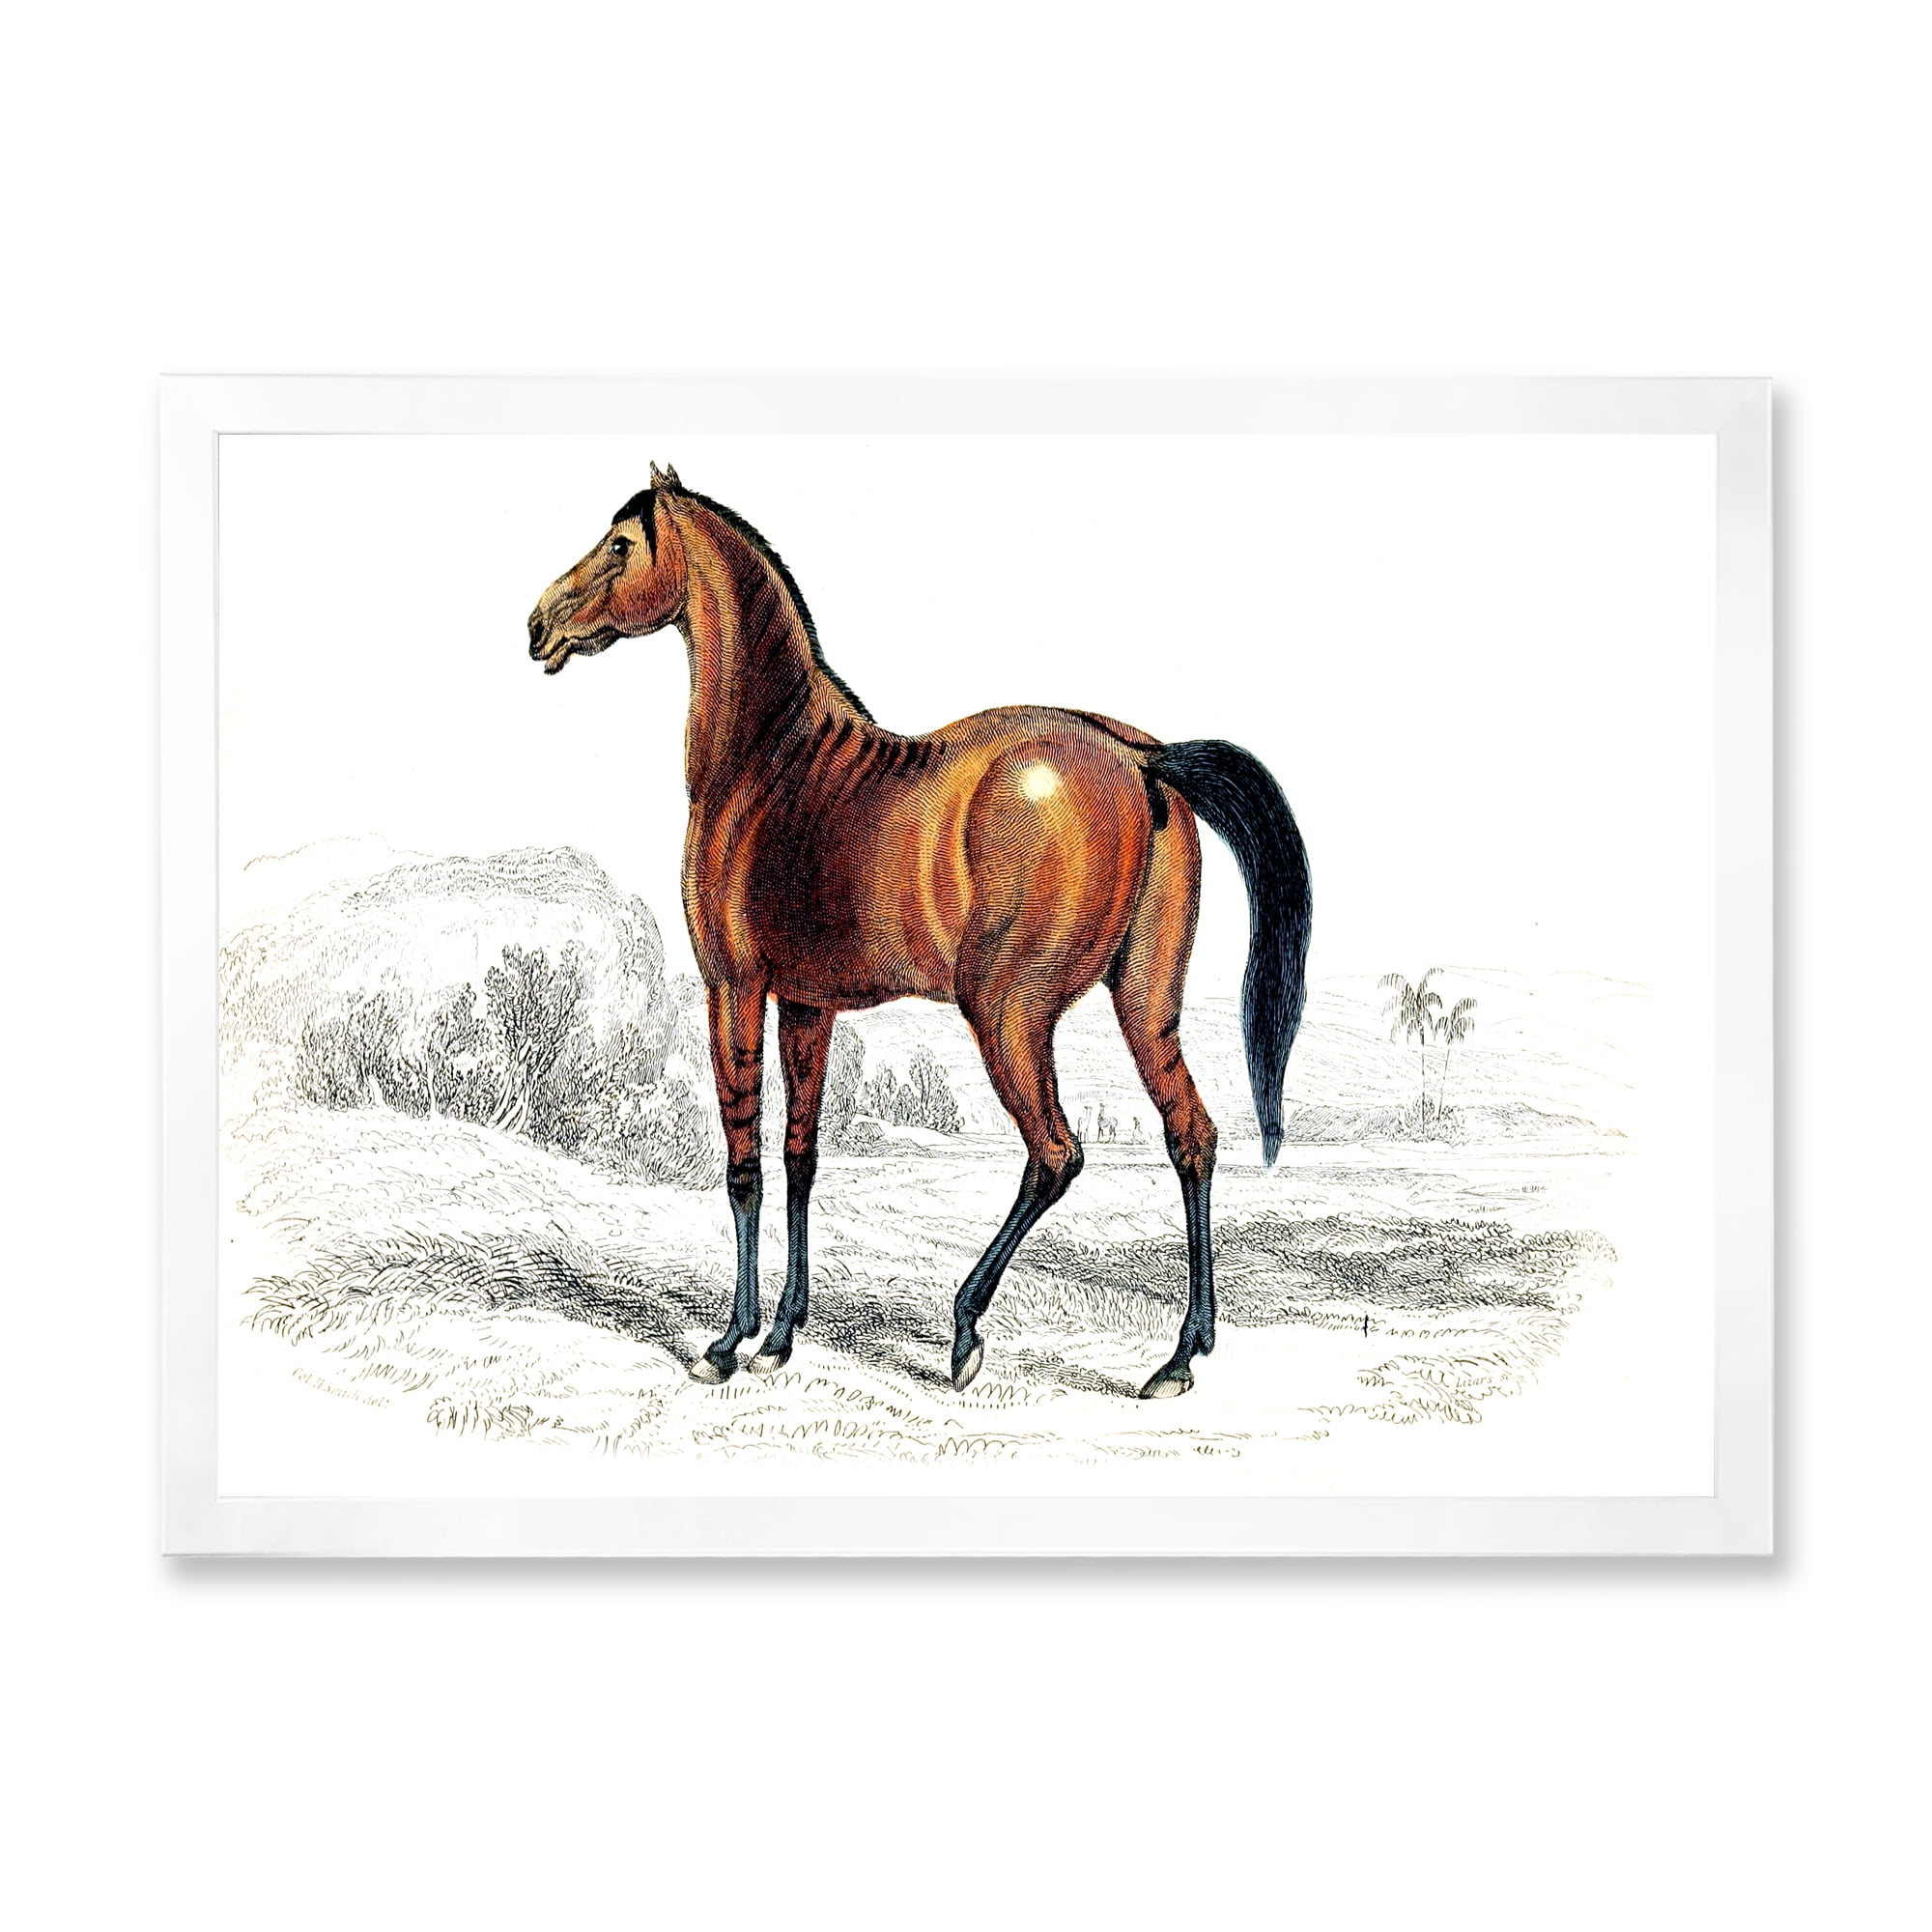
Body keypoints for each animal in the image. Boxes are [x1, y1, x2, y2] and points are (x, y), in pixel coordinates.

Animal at [526, 465, 1311, 1399]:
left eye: (619, 544)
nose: (536, 625)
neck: (770, 763)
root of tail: (1140, 758)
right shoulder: (807, 1006)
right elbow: (800, 1157)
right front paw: (783, 1333)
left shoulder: (734, 989)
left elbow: (745, 1165)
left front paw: (730, 1341)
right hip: (1144, 1003)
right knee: (1191, 1136)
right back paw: (1179, 1356)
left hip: (1009, 1013)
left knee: (1055, 1154)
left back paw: (967, 1329)